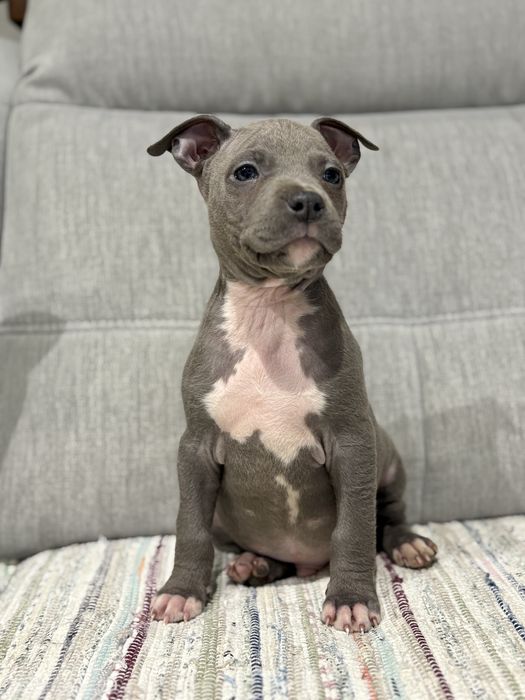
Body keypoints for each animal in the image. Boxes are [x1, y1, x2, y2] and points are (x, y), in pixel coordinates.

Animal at [147, 115, 438, 633]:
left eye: (332, 174)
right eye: (245, 172)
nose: (308, 200)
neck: (269, 312)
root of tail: (304, 564)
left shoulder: (353, 443)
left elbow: (354, 528)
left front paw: (351, 598)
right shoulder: (195, 449)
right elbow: (190, 526)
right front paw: (181, 591)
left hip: (388, 457)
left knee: (387, 516)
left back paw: (408, 543)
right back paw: (255, 564)